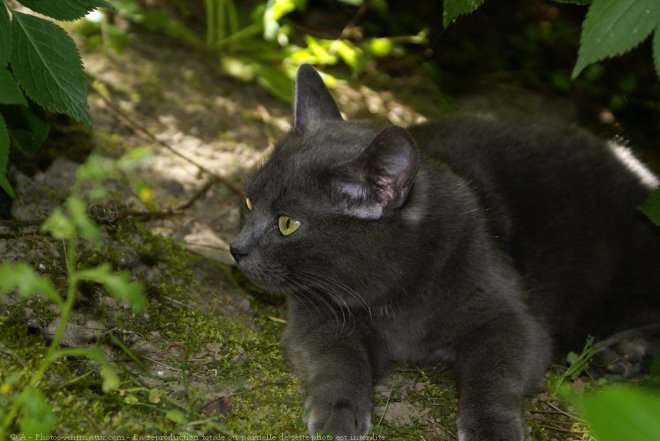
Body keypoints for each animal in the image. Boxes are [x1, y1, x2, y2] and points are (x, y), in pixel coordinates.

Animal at [231, 63, 660, 438]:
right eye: (249, 202)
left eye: (287, 223)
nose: (237, 248)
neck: (400, 291)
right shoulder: (316, 310)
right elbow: (337, 355)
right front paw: (339, 413)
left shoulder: (512, 318)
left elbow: (495, 372)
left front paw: (492, 429)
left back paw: (620, 352)